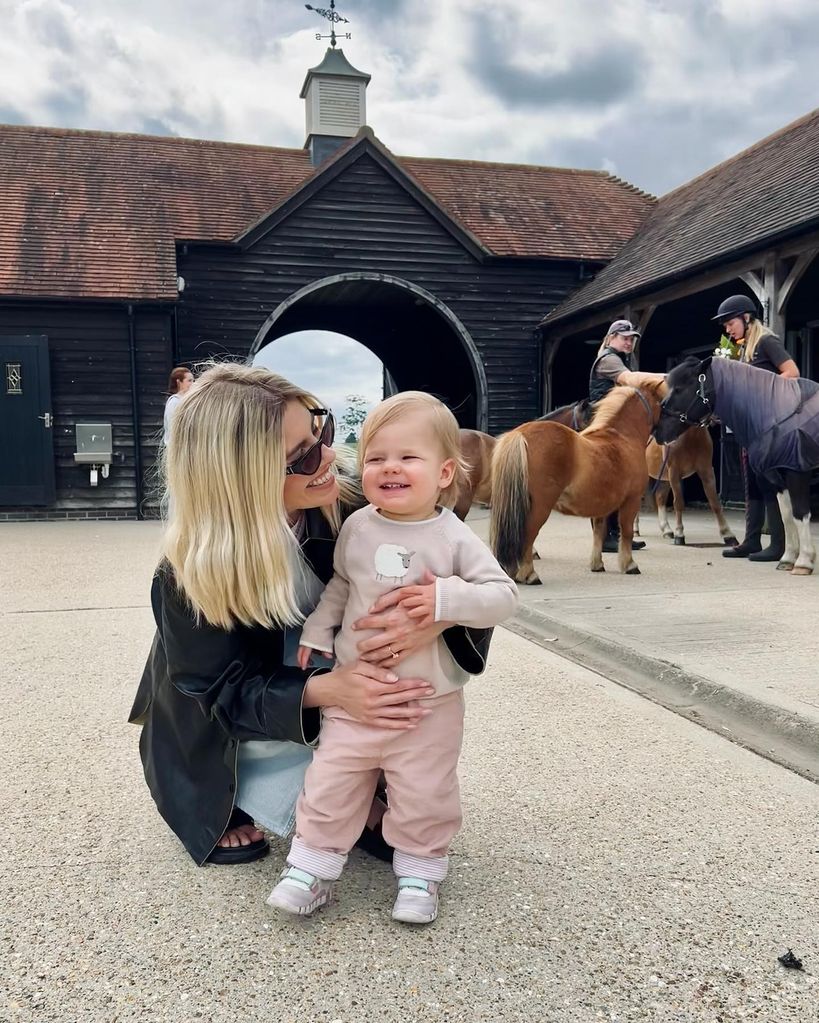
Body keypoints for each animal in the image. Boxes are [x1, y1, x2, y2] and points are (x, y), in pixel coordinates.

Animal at [654, 356, 819, 572]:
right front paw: (788, 559)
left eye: (679, 389)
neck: (775, 414)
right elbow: (787, 515)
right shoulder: (778, 478)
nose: (657, 431)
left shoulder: (796, 471)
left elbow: (800, 513)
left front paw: (804, 561)